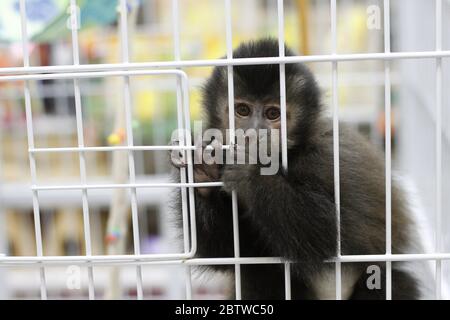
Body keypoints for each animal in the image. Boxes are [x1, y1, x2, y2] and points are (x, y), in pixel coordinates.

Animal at [171, 38, 424, 298]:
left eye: (273, 113)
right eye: (242, 110)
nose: (253, 134)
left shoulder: (326, 157)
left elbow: (330, 236)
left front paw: (251, 171)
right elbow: (229, 254)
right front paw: (202, 172)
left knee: (387, 277)